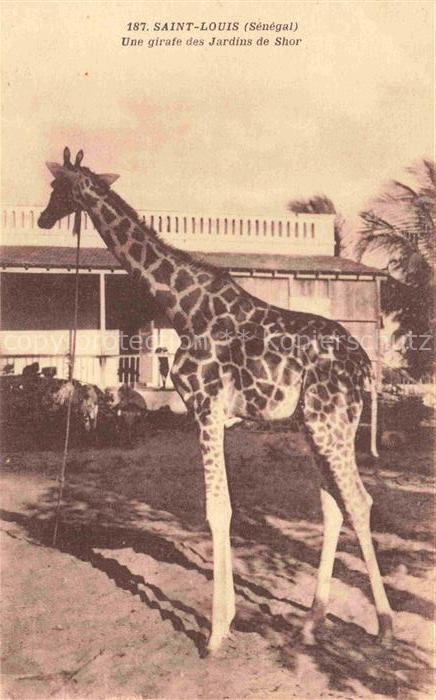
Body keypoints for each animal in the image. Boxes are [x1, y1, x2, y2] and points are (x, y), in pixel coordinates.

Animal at [38, 148, 393, 653]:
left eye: (57, 188)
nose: (44, 219)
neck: (183, 309)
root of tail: (364, 364)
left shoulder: (206, 409)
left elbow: (217, 510)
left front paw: (216, 631)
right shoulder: (215, 416)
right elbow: (223, 510)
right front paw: (225, 622)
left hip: (331, 422)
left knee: (359, 501)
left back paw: (384, 624)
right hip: (315, 424)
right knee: (332, 504)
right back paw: (310, 621)